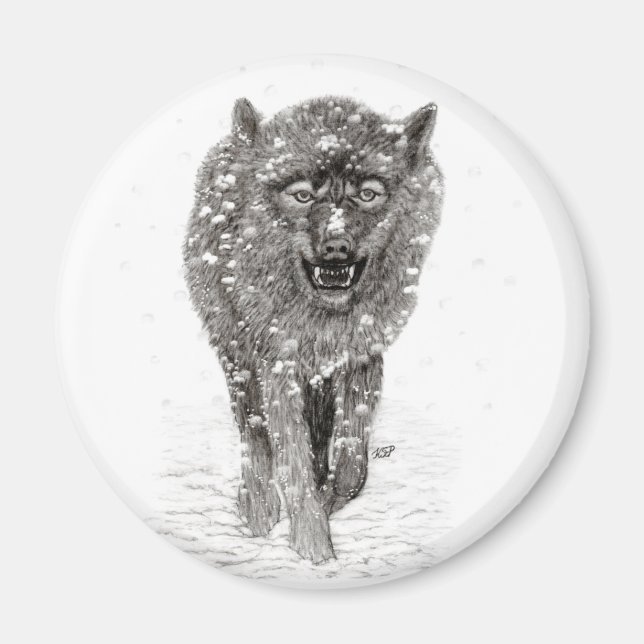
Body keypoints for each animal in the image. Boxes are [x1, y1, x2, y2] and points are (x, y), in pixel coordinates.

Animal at [183, 95, 443, 563]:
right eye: (302, 195)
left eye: (368, 193)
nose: (336, 247)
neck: (323, 321)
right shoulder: (277, 367)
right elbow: (291, 460)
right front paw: (312, 548)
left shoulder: (361, 357)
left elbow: (351, 464)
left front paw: (325, 505)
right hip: (238, 358)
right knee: (254, 436)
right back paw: (257, 509)